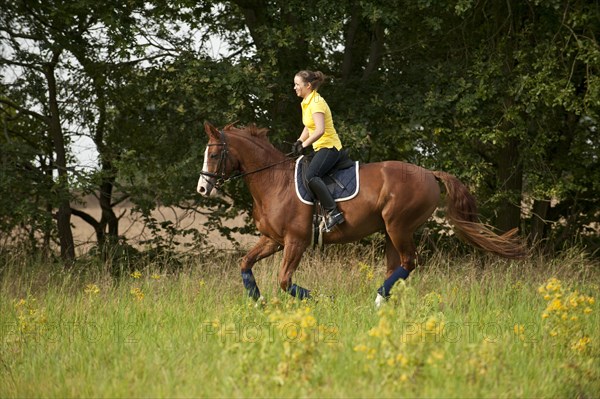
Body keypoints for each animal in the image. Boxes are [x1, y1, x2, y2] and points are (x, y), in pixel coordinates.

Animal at [197, 122, 524, 306]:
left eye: (213, 154)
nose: (202, 188)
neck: (273, 181)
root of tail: (429, 173)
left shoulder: (295, 242)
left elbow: (285, 281)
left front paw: (325, 300)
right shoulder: (273, 240)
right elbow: (245, 264)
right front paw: (258, 302)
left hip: (399, 227)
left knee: (409, 262)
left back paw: (378, 300)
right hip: (391, 232)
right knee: (397, 267)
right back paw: (384, 303)